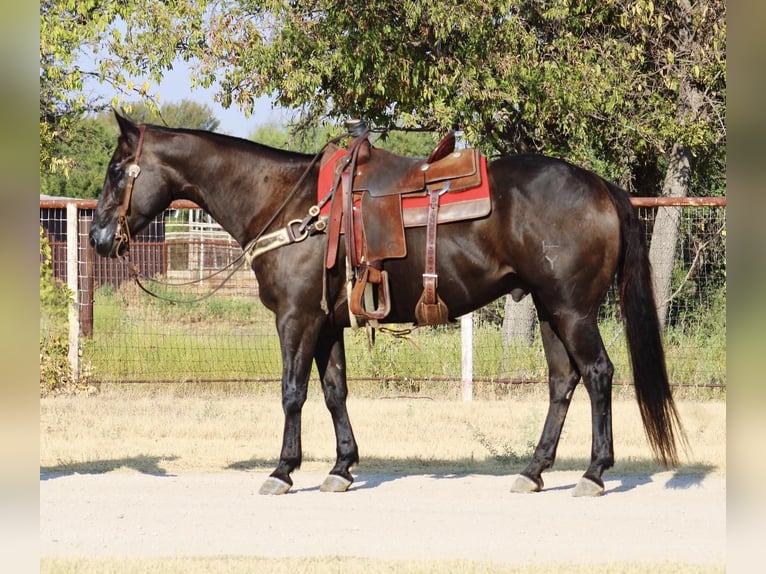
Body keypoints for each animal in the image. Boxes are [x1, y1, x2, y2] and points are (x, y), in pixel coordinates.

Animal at [87, 110, 688, 498]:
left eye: (117, 170)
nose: (97, 237)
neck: (291, 205)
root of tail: (601, 186)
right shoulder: (327, 323)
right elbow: (333, 391)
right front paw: (341, 467)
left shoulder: (296, 318)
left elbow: (291, 392)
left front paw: (282, 471)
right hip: (549, 310)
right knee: (564, 382)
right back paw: (534, 470)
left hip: (572, 309)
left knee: (599, 374)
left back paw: (593, 474)